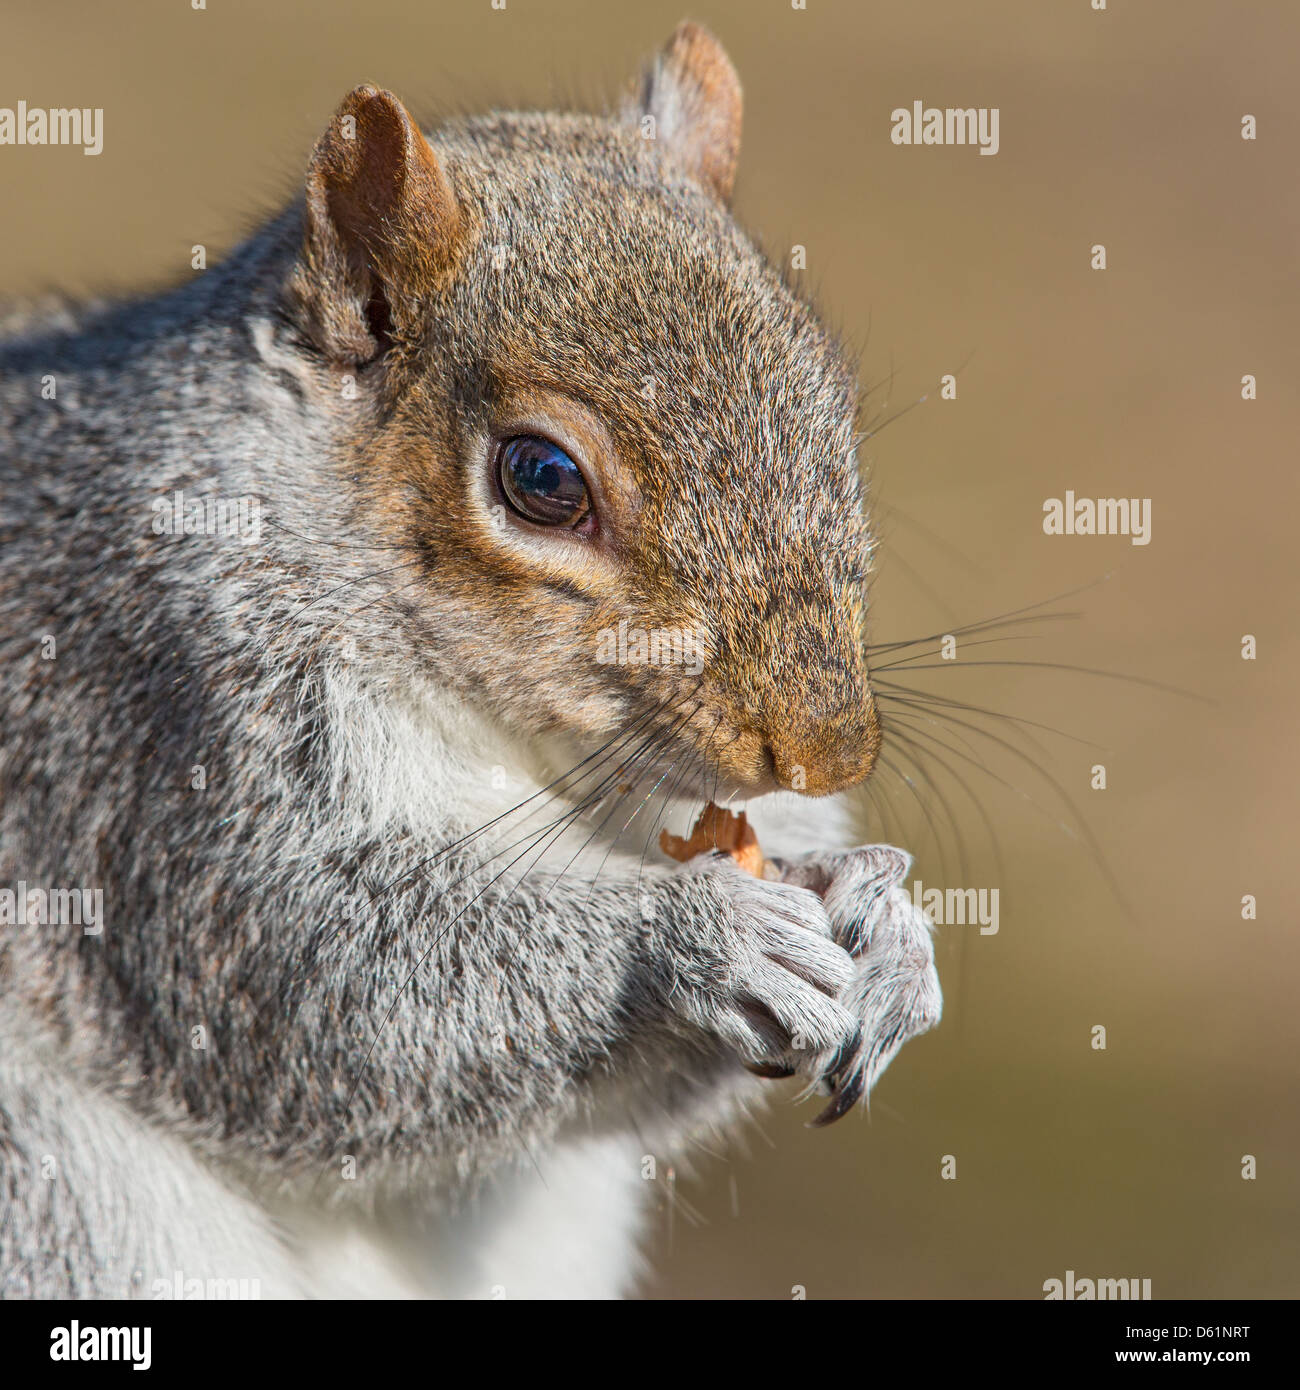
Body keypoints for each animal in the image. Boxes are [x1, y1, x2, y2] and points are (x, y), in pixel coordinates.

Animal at [0, 22, 941, 1299]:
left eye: (830, 408)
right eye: (541, 479)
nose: (826, 752)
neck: (505, 733)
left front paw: (885, 924)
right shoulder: (146, 718)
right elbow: (304, 989)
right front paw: (694, 941)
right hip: (56, 1188)